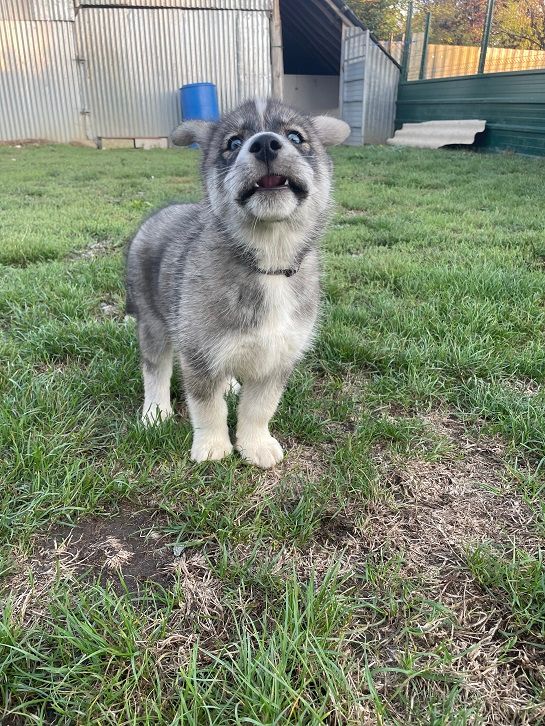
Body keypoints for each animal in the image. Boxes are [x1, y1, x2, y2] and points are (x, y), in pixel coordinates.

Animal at [125, 98, 348, 466]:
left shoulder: (278, 355)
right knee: (156, 368)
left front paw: (255, 444)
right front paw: (213, 445)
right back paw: (155, 411)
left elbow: (260, 407)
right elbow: (207, 406)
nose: (266, 143)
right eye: (233, 143)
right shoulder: (199, 351)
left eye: (295, 137)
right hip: (153, 322)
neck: (268, 266)